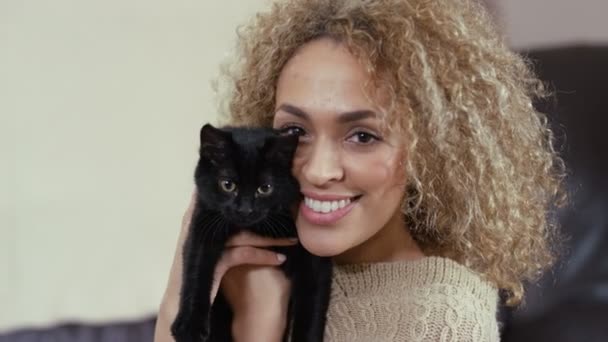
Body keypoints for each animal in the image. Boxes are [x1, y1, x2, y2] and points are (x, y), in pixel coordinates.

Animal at [170, 123, 332, 342]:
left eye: (265, 188)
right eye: (227, 185)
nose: (245, 210)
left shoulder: (312, 252)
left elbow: (311, 302)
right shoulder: (203, 223)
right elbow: (195, 270)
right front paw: (189, 326)